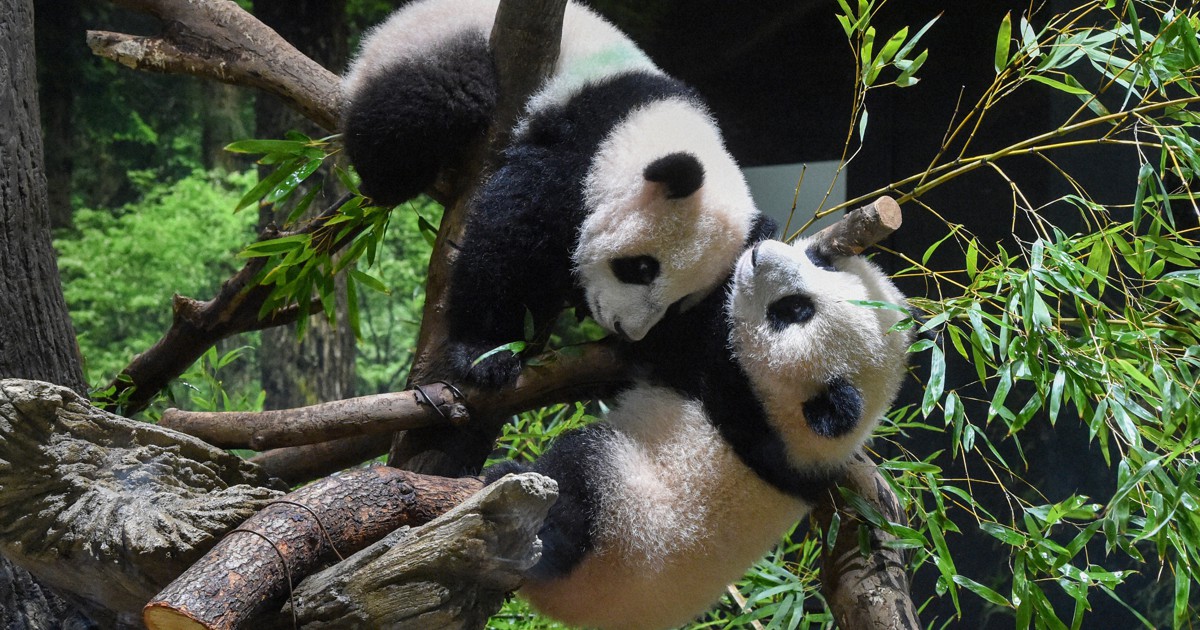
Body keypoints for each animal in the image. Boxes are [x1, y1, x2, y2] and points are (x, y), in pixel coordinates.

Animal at [340, 0, 758, 386]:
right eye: (641, 268)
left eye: (678, 304)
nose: (627, 330)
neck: (649, 122)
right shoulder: (580, 142)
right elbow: (510, 232)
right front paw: (486, 353)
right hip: (434, 44)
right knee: (431, 102)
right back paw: (390, 179)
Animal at [482, 235, 912, 628]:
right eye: (820, 262)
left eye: (793, 310)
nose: (759, 254)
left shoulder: (733, 392)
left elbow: (667, 342)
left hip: (620, 522)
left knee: (575, 487)